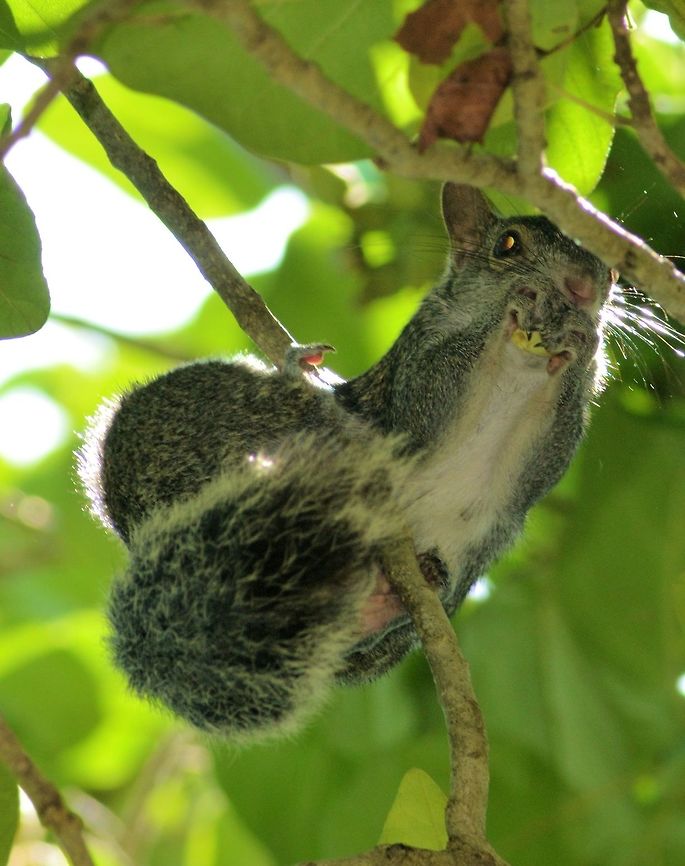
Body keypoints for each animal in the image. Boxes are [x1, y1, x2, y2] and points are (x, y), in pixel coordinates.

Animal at [78, 183, 615, 741]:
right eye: (508, 244)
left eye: (614, 274)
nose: (584, 287)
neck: (517, 376)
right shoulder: (408, 379)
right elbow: (426, 400)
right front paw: (516, 310)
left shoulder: (522, 484)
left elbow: (547, 462)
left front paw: (586, 345)